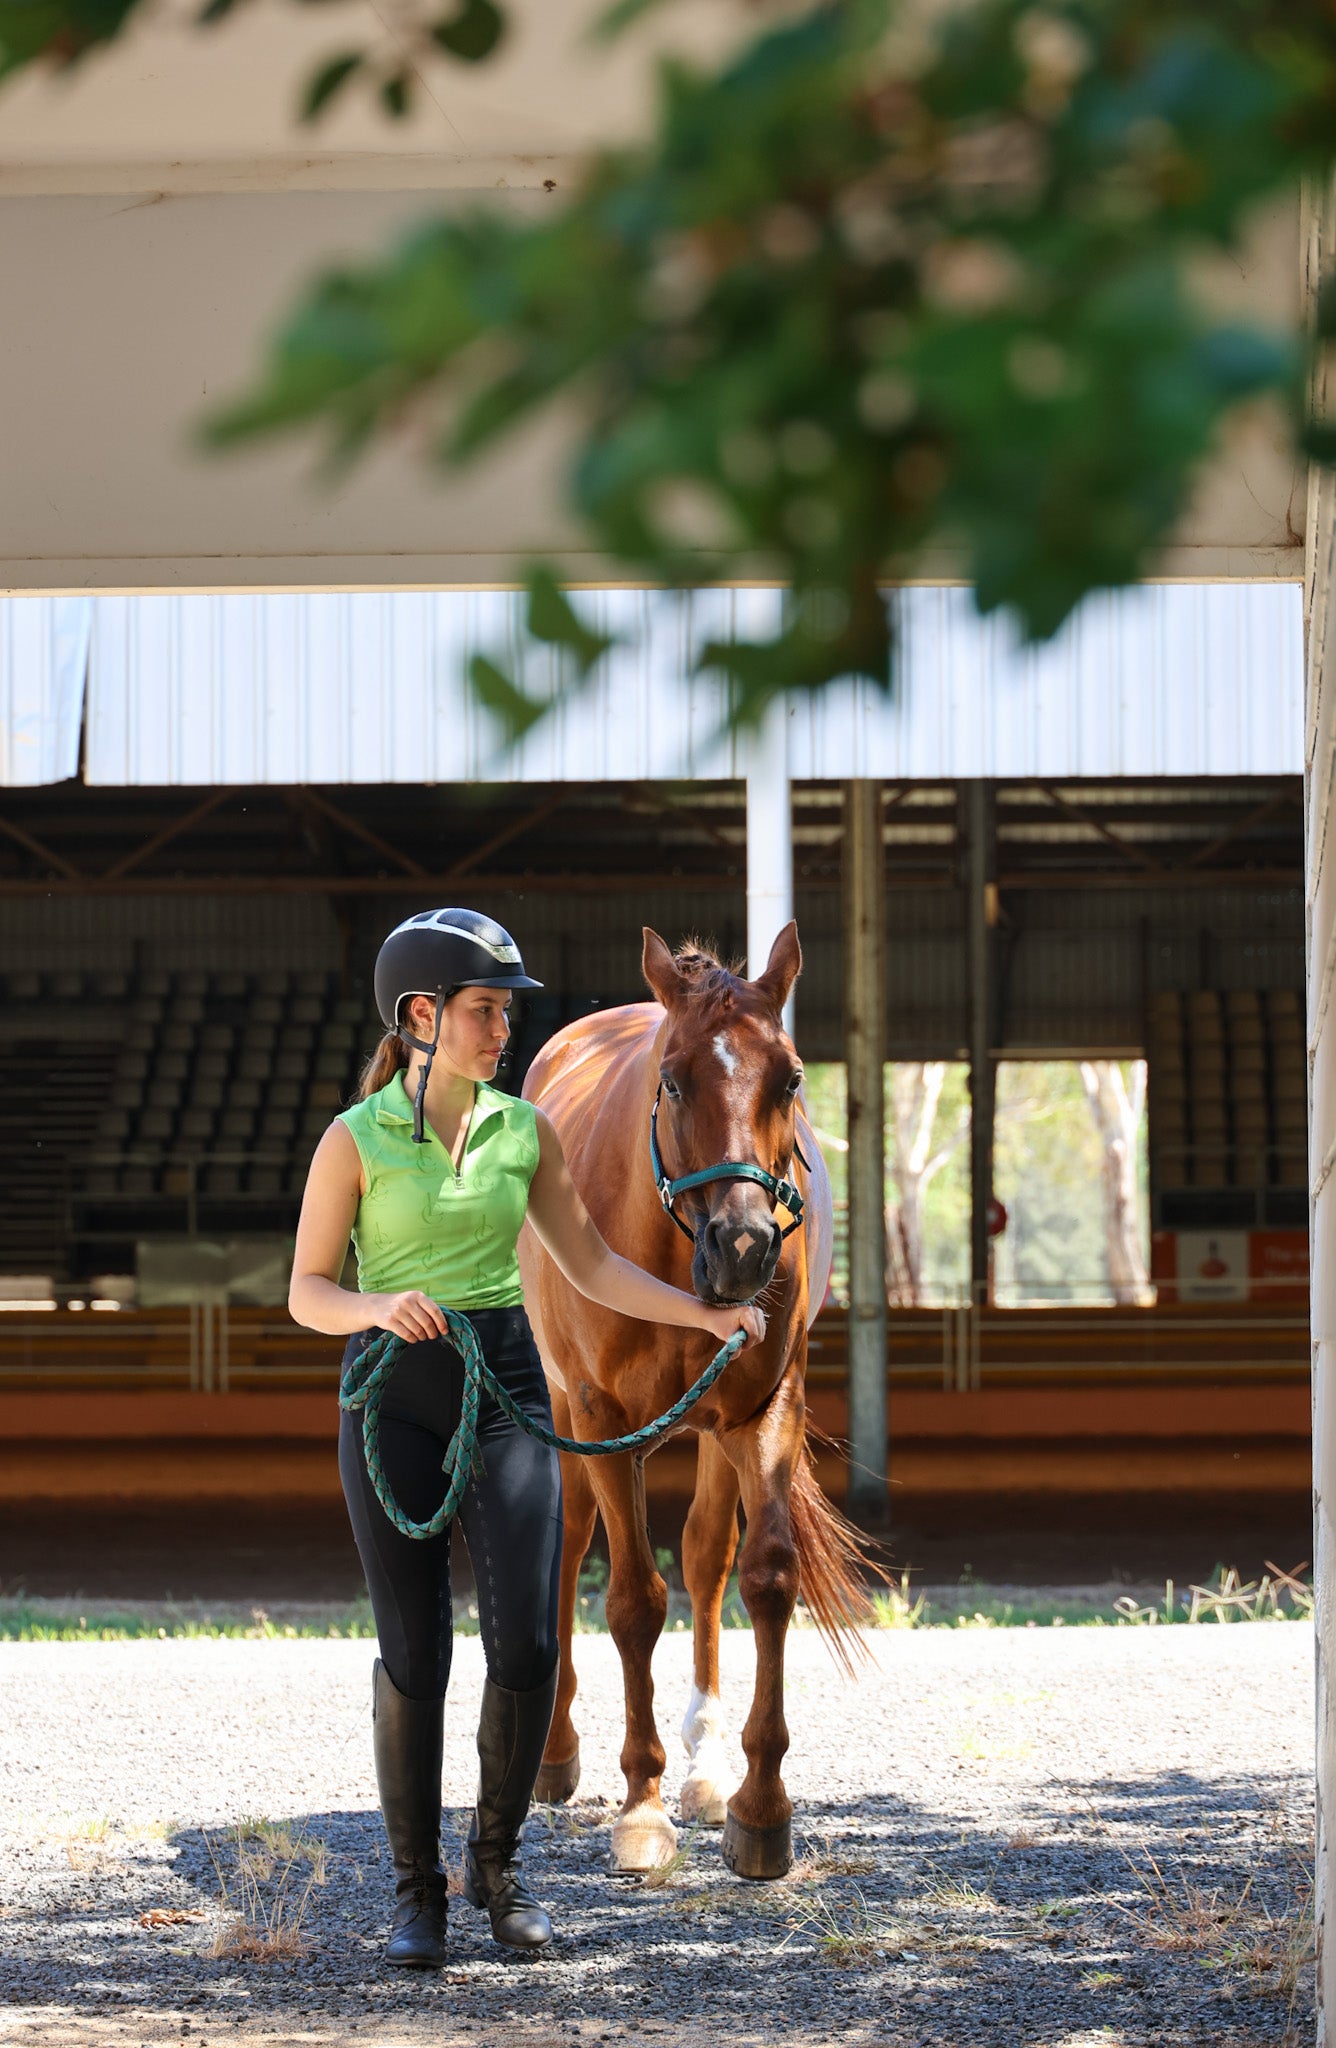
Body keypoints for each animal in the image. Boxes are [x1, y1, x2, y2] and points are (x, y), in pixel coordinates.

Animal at [518, 921, 877, 1875]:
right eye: (674, 1078)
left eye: (791, 1077)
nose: (745, 1246)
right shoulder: (602, 1418)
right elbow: (634, 1602)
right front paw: (640, 1807)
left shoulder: (762, 1407)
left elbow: (765, 1575)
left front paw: (758, 1803)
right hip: (567, 1415)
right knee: (569, 1547)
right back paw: (555, 1753)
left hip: (714, 1430)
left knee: (708, 1554)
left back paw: (706, 1764)